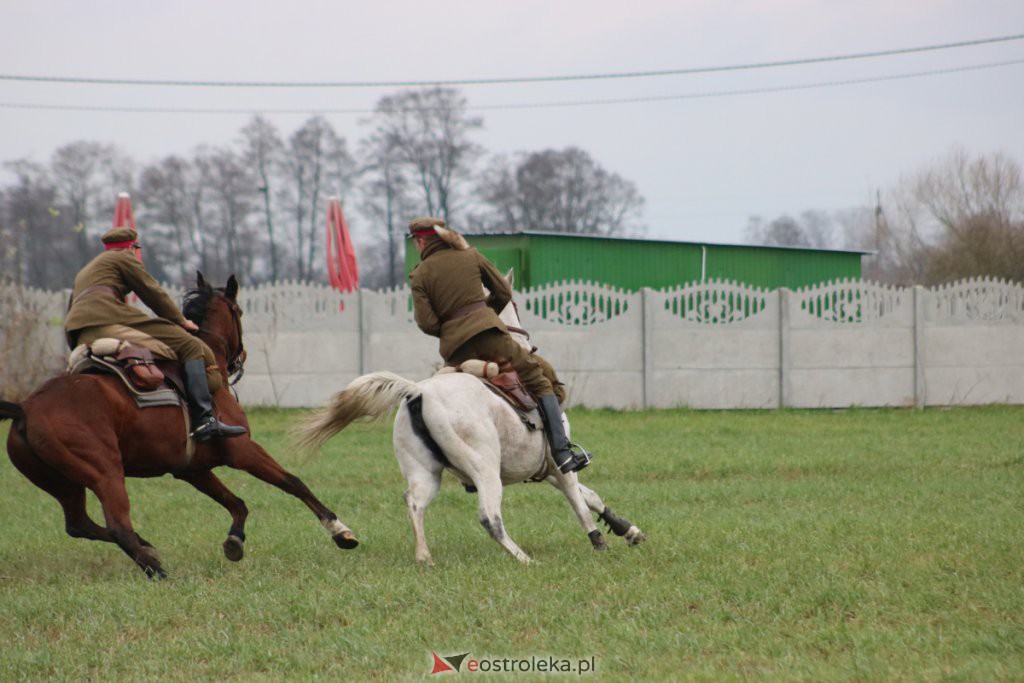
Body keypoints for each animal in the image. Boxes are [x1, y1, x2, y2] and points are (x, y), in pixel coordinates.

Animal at [0, 272, 358, 577]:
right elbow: (293, 483)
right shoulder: (242, 451)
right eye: (239, 311)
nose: (240, 358)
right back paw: (156, 570)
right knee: (117, 525)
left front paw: (235, 541)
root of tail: (26, 408)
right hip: (105, 472)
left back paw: (147, 547)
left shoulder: (192, 469)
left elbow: (236, 503)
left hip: (64, 483)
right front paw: (340, 531)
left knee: (78, 525)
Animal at [299, 274, 647, 565]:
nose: (528, 343)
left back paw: (424, 557)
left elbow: (591, 497)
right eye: (515, 305)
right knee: (490, 517)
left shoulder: (546, 468)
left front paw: (627, 529)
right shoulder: (557, 464)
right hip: (485, 470)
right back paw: (523, 559)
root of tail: (419, 392)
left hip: (426, 474)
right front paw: (599, 540)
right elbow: (579, 501)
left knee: (415, 503)